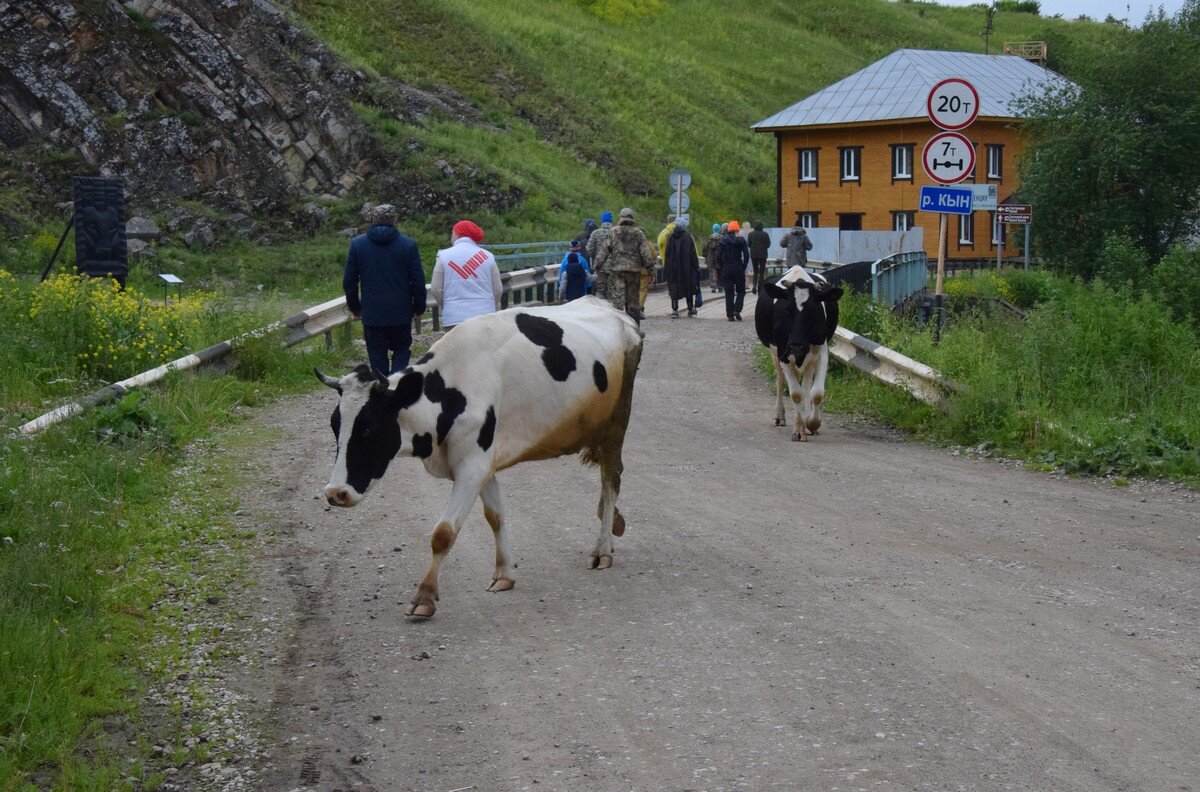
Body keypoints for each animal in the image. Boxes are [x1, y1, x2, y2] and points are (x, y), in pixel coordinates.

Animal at [314, 295, 643, 619]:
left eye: (368, 428)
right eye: (334, 424)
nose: (335, 493)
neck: (451, 389)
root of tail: (610, 308)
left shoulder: (472, 467)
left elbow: (443, 532)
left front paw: (424, 597)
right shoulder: (482, 463)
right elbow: (495, 516)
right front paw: (505, 573)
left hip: (615, 425)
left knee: (610, 483)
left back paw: (603, 549)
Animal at [758, 264, 844, 439]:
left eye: (813, 311)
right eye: (787, 310)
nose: (797, 346)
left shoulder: (822, 353)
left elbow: (816, 393)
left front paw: (812, 423)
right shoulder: (783, 353)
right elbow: (795, 393)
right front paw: (798, 429)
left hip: (809, 358)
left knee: (806, 384)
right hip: (775, 353)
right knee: (780, 379)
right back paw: (779, 416)